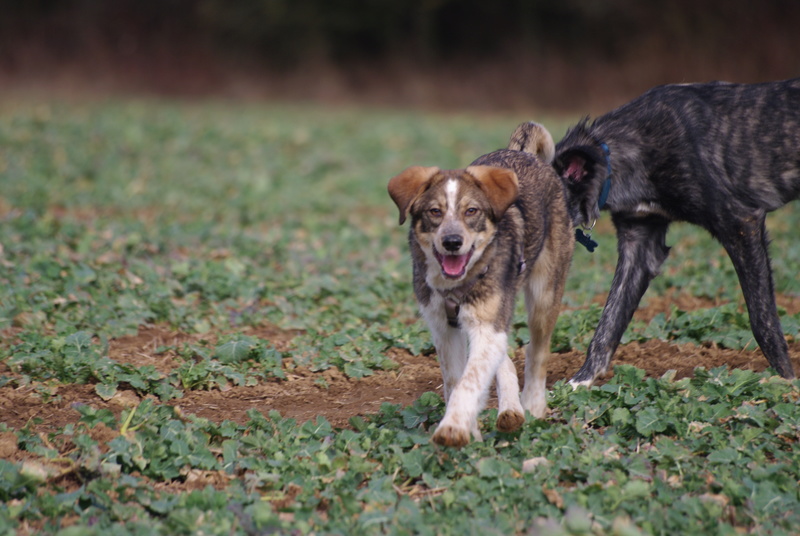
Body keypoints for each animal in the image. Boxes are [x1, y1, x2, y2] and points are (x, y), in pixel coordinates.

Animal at [390, 123, 572, 446]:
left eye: (471, 211)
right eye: (434, 212)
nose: (452, 242)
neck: (456, 286)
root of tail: (524, 154)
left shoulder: (487, 325)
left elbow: (470, 380)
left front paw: (453, 428)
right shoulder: (443, 328)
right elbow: (455, 380)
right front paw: (469, 430)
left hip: (545, 291)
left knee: (536, 352)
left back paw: (532, 407)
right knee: (505, 360)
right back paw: (511, 411)